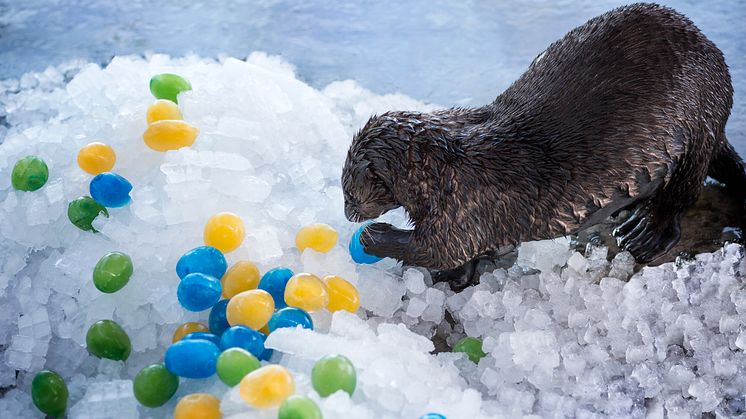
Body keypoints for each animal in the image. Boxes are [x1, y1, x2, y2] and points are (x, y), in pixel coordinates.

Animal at [342, 4, 744, 278]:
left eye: (348, 194)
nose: (348, 214)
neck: (444, 169)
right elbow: (476, 251)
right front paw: (463, 274)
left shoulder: (463, 209)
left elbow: (438, 248)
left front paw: (374, 236)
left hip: (697, 123)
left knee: (684, 190)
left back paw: (645, 232)